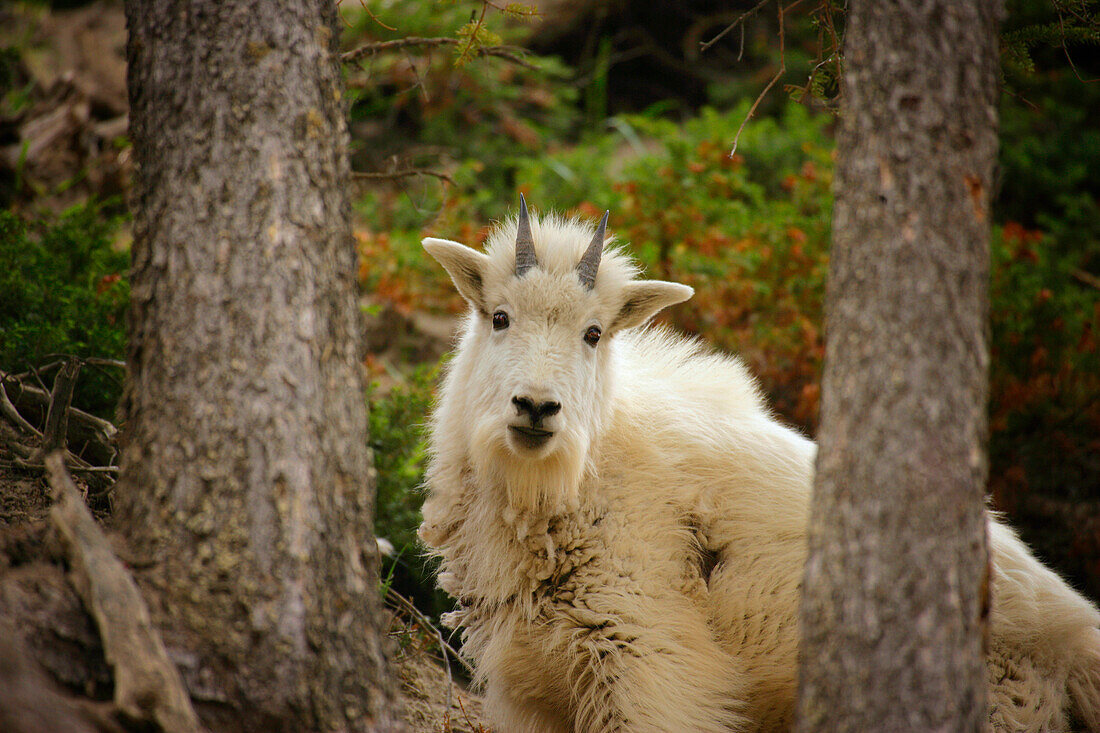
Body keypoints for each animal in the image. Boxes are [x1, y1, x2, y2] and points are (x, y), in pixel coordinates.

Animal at [413, 197, 1100, 726]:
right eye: (499, 317)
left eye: (594, 333)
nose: (536, 407)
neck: (572, 483)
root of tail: (1076, 634)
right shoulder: (536, 687)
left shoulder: (649, 664)